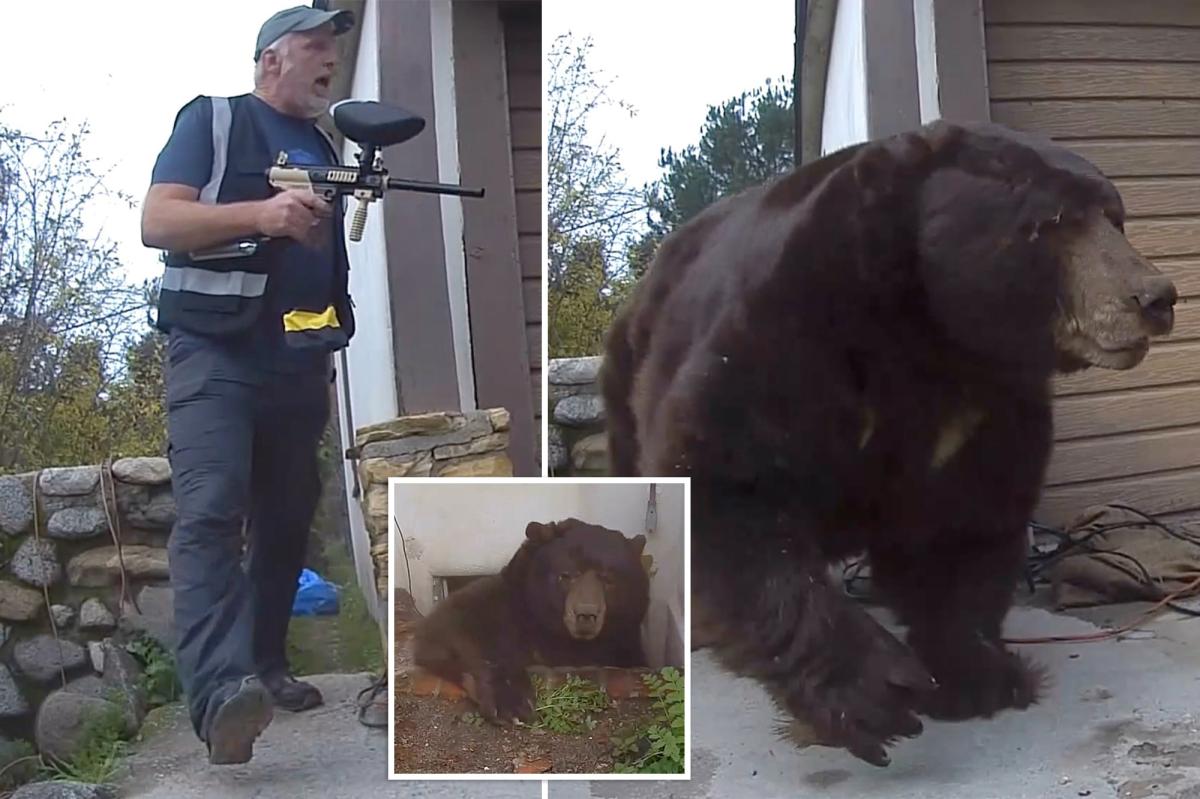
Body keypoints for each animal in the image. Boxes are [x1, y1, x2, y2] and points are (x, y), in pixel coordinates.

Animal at [412, 517, 650, 723]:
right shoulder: (506, 607)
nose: (586, 614)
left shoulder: (622, 645)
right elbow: (449, 625)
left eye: (608, 579)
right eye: (566, 575)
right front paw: (510, 702)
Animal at [600, 120, 1176, 767]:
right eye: (1051, 220)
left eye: (1115, 216)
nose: (1156, 296)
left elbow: (967, 521)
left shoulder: (990, 405)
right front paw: (871, 693)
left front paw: (977, 674)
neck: (926, 336)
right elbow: (726, 487)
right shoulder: (785, 340)